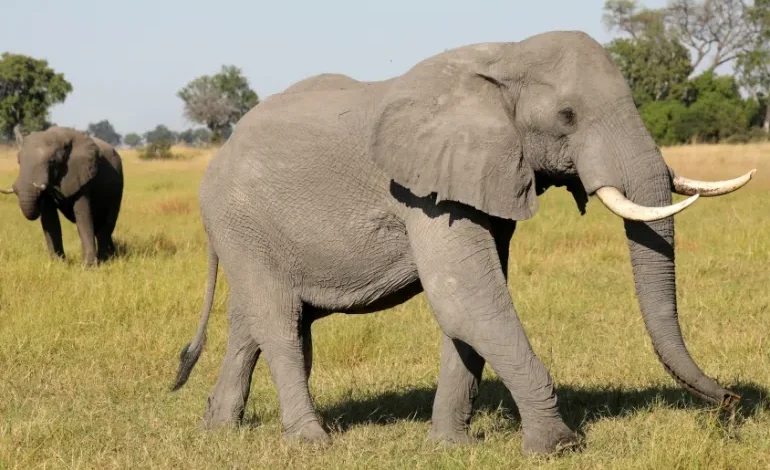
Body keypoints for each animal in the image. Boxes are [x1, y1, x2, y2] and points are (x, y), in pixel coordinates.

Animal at [1, 126, 124, 267]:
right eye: (18, 161)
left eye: (52, 162)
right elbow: (50, 220)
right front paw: (57, 264)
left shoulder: (81, 174)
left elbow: (83, 217)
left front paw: (88, 267)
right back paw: (112, 256)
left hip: (118, 186)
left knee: (107, 224)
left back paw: (105, 260)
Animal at [171, 30, 756, 456]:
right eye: (567, 117)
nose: (732, 401)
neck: (504, 58)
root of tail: (218, 154)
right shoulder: (423, 190)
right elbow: (467, 300)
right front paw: (557, 448)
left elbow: (471, 309)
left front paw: (451, 446)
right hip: (239, 221)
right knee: (279, 322)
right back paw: (312, 443)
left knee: (256, 322)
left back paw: (217, 431)